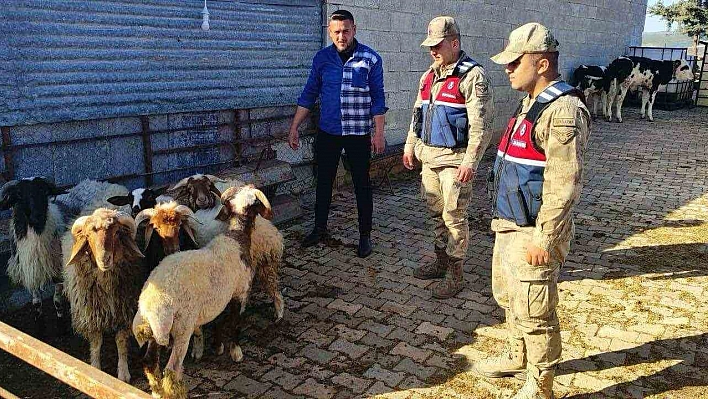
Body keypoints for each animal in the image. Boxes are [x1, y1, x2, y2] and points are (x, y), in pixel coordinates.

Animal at [62, 208, 147, 382]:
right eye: (88, 235)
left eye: (116, 232)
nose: (104, 258)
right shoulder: (91, 315)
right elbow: (96, 343)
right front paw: (95, 369)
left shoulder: (125, 313)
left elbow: (120, 342)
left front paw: (123, 373)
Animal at [134, 187, 272, 399]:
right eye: (255, 204)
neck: (236, 237)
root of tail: (150, 303)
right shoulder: (241, 292)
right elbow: (235, 322)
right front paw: (236, 351)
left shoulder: (220, 297)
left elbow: (219, 320)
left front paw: (217, 346)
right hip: (181, 328)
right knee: (172, 369)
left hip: (155, 332)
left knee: (149, 363)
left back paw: (157, 393)